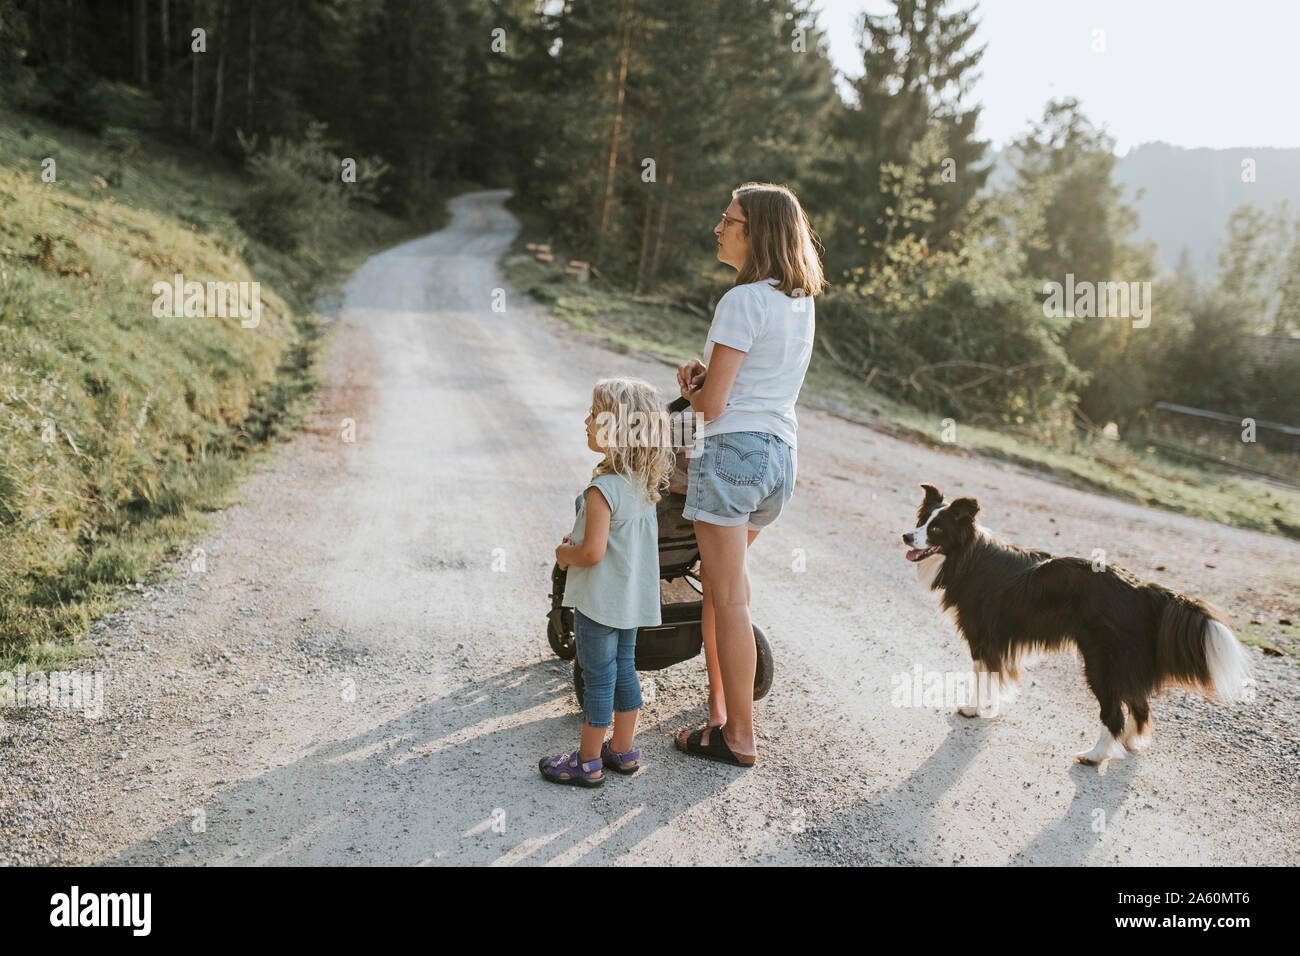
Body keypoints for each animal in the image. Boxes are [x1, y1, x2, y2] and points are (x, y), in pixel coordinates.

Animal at [904, 486, 1248, 764]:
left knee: (1114, 713)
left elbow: (982, 676)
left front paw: (974, 709)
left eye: (936, 528)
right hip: (1123, 664)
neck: (967, 556)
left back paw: (1095, 755)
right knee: (1139, 705)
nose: (906, 536)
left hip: (1101, 662)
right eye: (921, 521)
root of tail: (1142, 588)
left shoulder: (982, 637)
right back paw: (1129, 743)